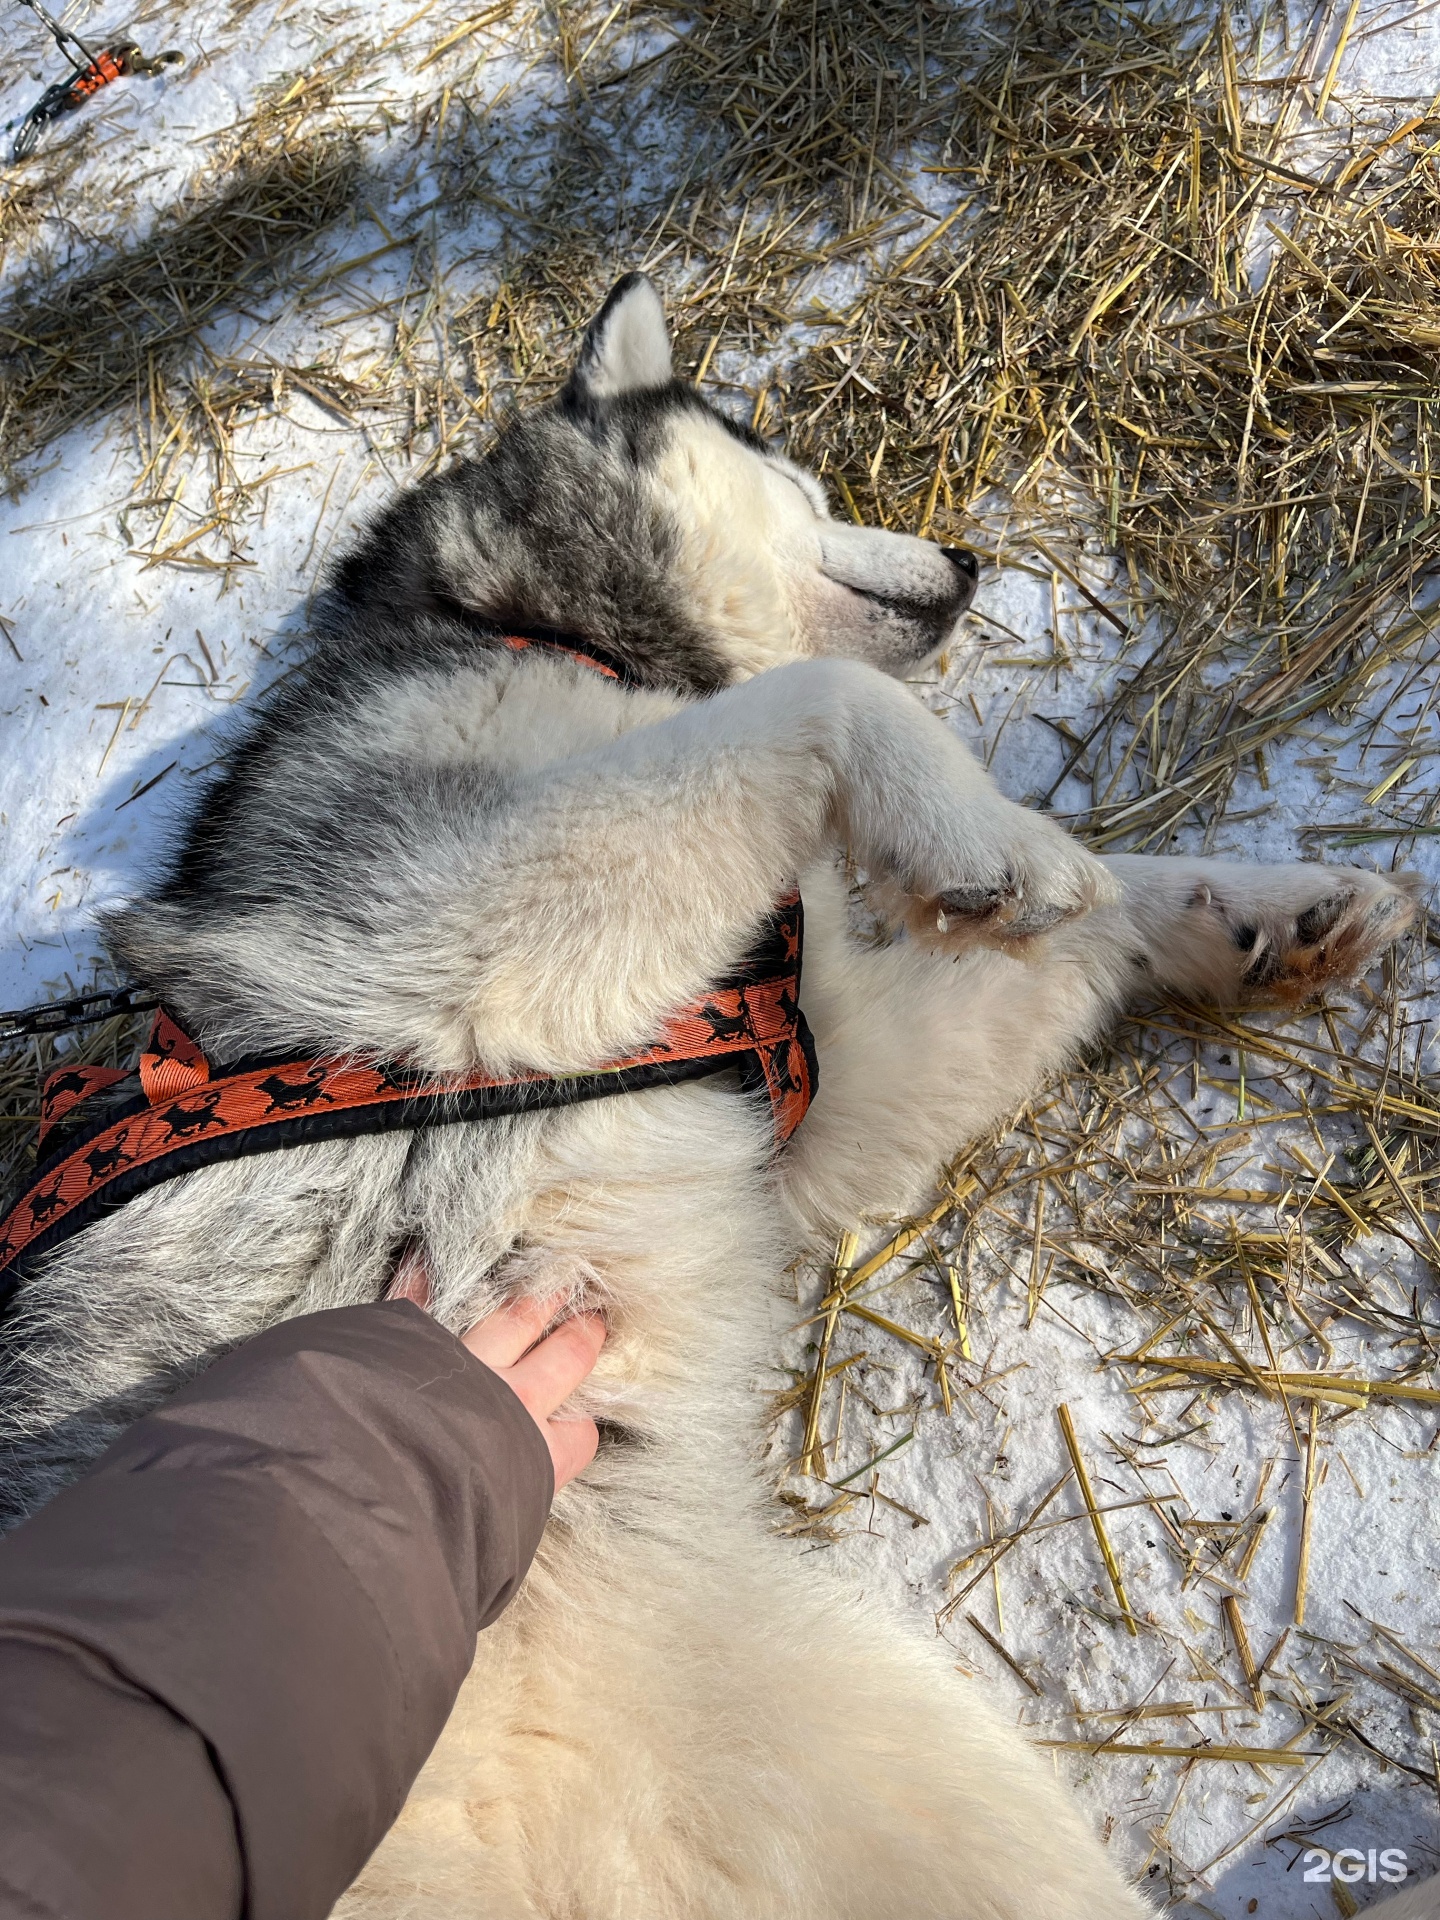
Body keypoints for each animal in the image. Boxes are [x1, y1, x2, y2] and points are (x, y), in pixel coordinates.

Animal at [0, 274, 1428, 1920]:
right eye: (802, 484)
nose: (967, 557)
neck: (556, 632)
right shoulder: (472, 927)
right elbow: (828, 701)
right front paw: (996, 831)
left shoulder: (801, 1076)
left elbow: (1078, 926)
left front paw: (1255, 910)